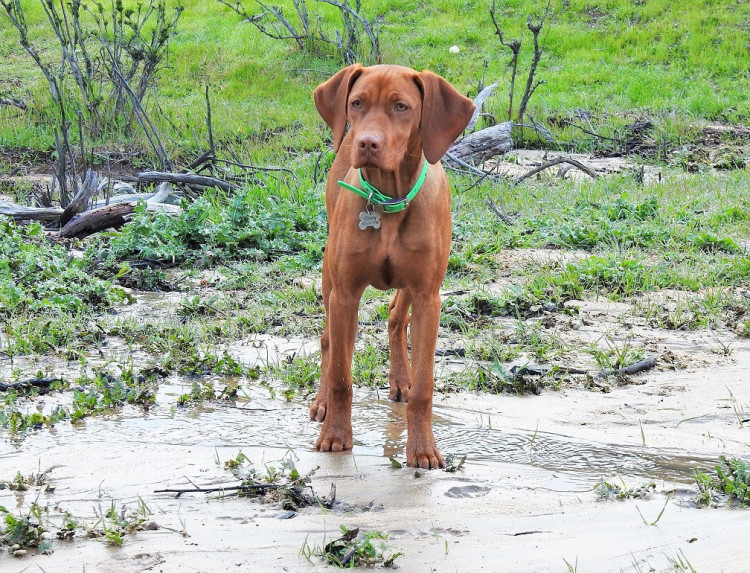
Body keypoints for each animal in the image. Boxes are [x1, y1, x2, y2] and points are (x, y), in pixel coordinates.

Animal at [311, 64, 475, 469]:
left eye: (402, 107)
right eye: (357, 103)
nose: (367, 143)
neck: (387, 200)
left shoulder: (429, 296)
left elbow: (425, 387)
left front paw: (422, 449)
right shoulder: (345, 295)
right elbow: (341, 377)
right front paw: (336, 436)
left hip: (412, 286)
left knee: (395, 316)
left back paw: (401, 379)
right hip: (330, 279)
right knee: (330, 342)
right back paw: (322, 403)